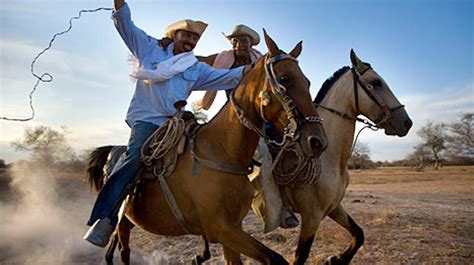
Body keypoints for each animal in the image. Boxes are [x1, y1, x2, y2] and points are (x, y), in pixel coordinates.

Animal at [85, 31, 328, 264]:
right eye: (285, 79)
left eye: (307, 82)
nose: (318, 141)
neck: (222, 151)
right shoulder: (221, 229)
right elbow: (275, 258)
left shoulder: (233, 229)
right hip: (122, 222)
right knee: (123, 251)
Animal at [278, 49, 412, 262]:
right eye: (376, 82)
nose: (407, 122)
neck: (329, 159)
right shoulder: (311, 217)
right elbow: (301, 256)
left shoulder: (333, 207)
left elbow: (359, 234)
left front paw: (336, 260)